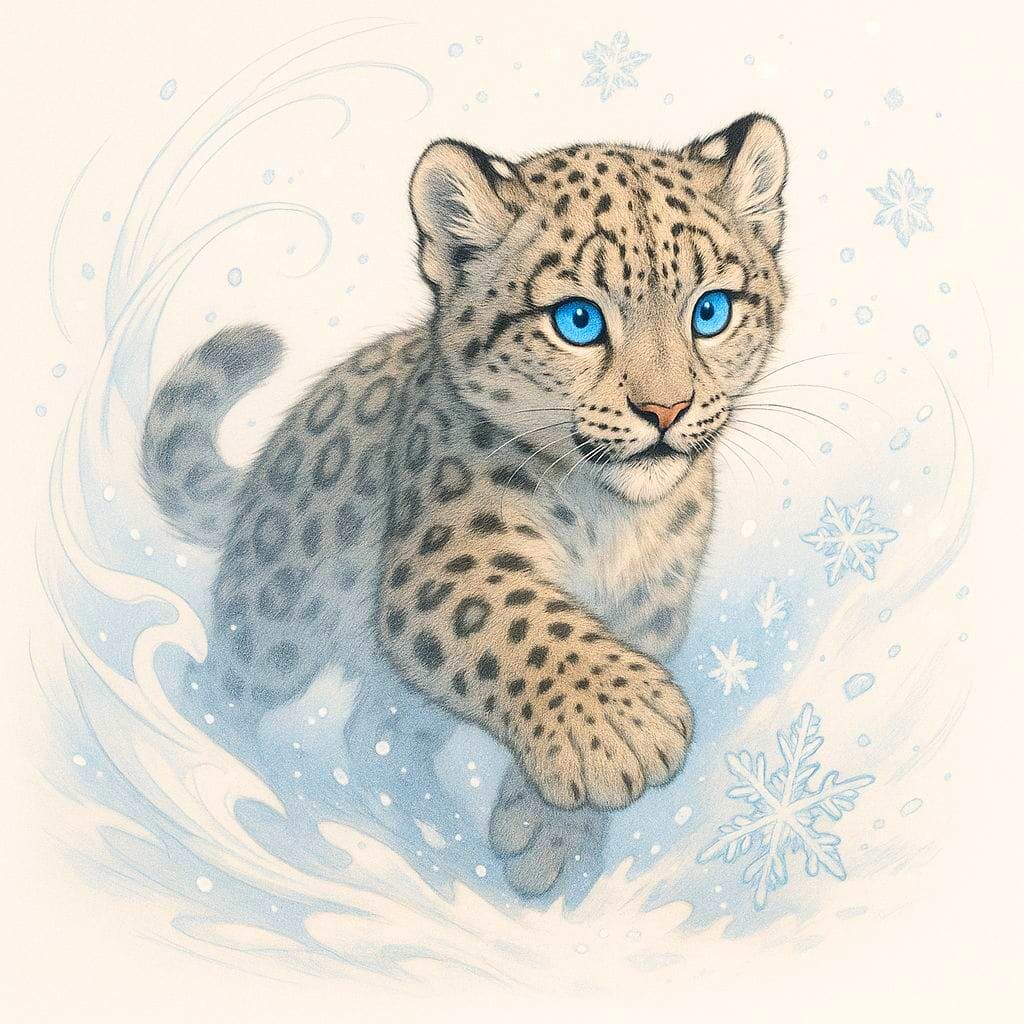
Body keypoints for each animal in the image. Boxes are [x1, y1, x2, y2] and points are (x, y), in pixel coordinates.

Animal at [141, 112, 789, 896]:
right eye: (578, 320)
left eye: (711, 310)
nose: (666, 409)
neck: (616, 518)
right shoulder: (449, 553)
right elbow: (523, 623)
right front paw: (622, 726)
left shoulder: (652, 602)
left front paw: (550, 836)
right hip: (274, 622)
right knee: (223, 686)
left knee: (378, 735)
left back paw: (422, 827)